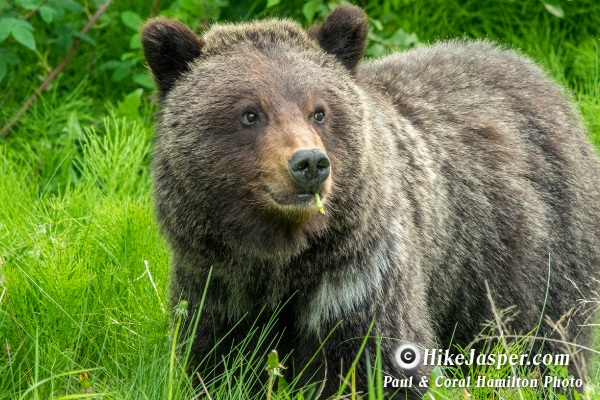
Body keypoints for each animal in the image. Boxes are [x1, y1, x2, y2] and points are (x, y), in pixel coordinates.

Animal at [142, 4, 600, 398]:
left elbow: (375, 364)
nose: (309, 163)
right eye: (250, 113)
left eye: (319, 111)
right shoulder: (218, 285)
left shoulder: (359, 278)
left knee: (549, 343)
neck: (282, 258)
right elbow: (216, 362)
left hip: (532, 256)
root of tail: (539, 73)